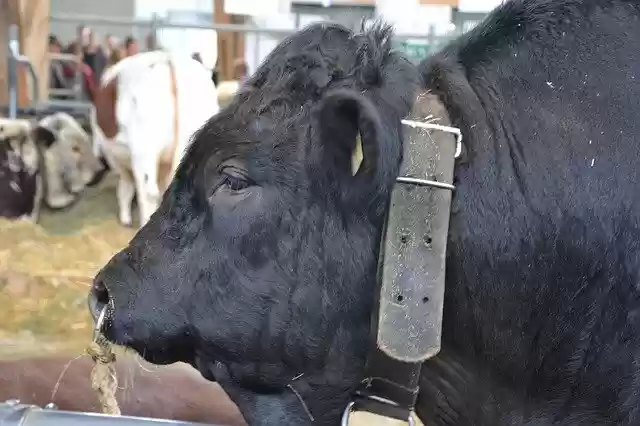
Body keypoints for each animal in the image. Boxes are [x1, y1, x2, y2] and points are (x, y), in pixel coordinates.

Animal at [91, 50, 220, 228]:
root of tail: (168, 58)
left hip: (144, 151)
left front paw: (125, 218)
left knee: (147, 194)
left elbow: (125, 187)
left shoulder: (113, 157)